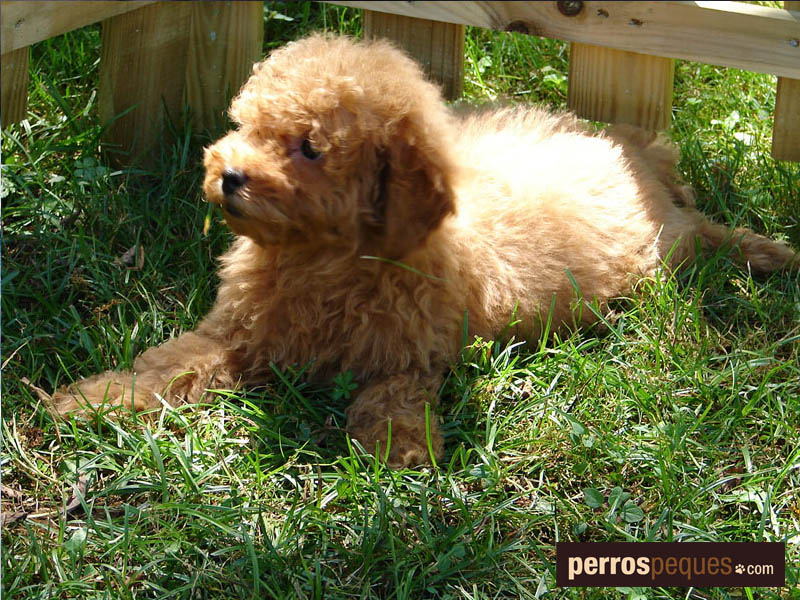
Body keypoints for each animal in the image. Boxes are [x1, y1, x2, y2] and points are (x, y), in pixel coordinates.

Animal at [52, 34, 799, 467]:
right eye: (247, 125)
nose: (228, 174)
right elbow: (167, 362)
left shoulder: (408, 351)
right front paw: (91, 399)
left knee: (704, 233)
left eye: (309, 148)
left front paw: (401, 451)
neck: (321, 259)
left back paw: (765, 251)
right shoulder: (234, 332)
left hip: (663, 252)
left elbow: (390, 398)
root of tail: (635, 153)